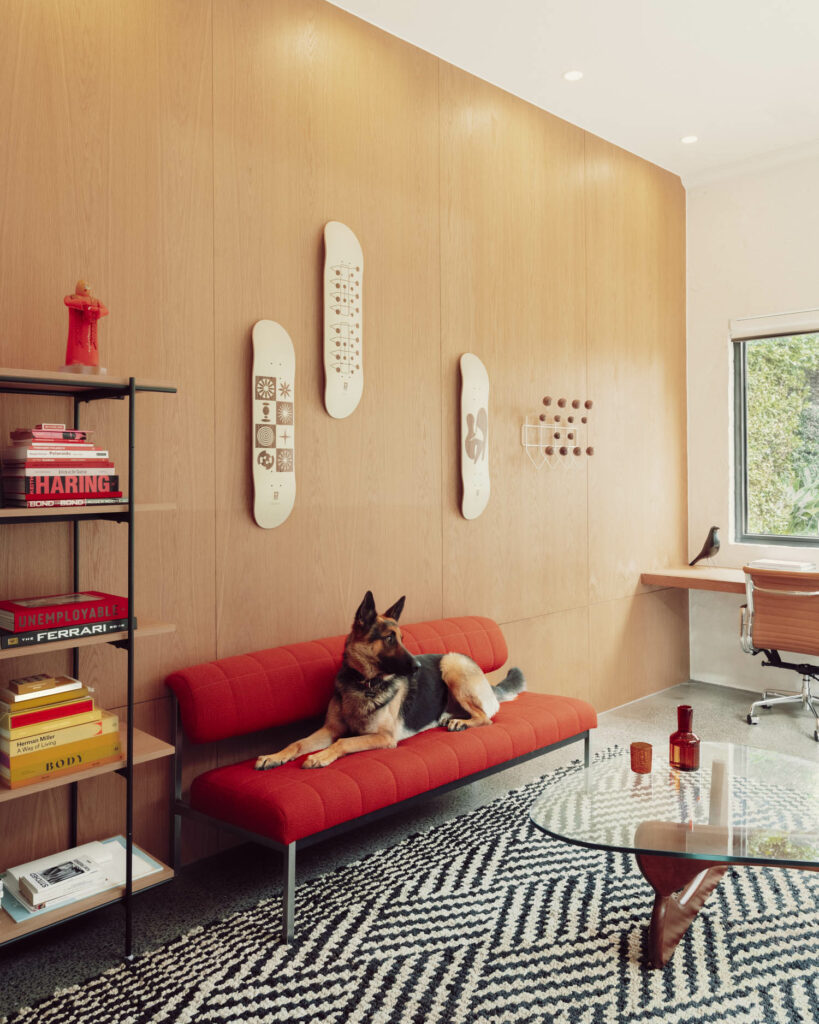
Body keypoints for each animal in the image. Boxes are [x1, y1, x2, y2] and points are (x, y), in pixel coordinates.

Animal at [255, 593, 524, 770]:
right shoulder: (329, 729)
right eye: (389, 638)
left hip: (451, 663)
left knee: (486, 718)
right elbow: (298, 742)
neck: (365, 683)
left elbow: (343, 742)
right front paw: (275, 755)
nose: (417, 668)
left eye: (403, 638)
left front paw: (321, 756)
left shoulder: (383, 737)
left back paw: (461, 722)